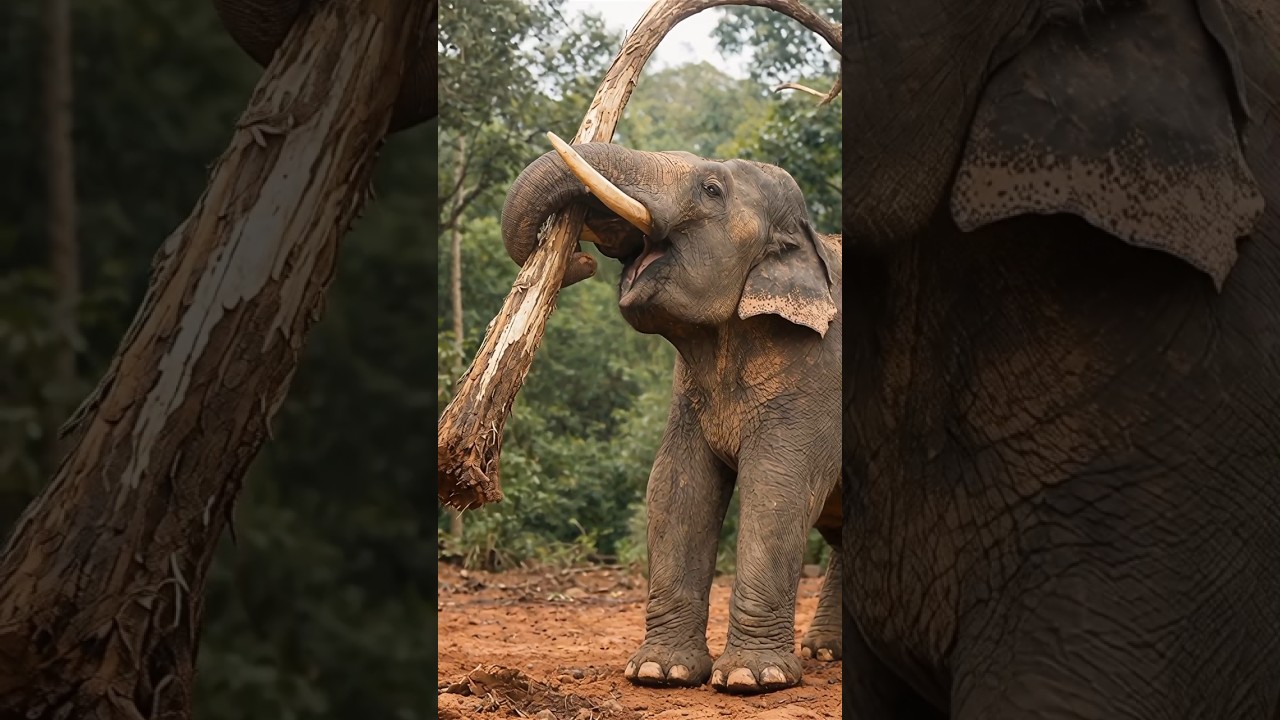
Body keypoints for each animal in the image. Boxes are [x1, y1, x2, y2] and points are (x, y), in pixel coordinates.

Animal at [501, 141, 844, 694]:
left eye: (712, 189)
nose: (580, 258)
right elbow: (676, 485)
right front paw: (660, 672)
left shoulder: (819, 375)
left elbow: (778, 487)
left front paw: (751, 678)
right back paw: (826, 653)